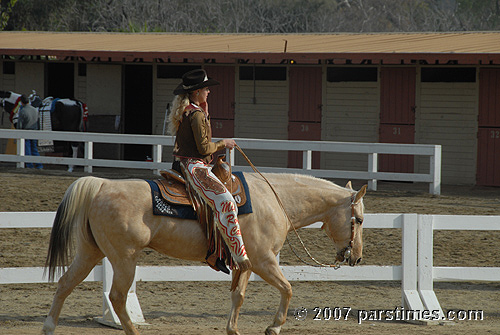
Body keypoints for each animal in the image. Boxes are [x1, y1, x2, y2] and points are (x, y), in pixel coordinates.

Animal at [42, 173, 368, 335]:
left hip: (90, 252)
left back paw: (48, 327)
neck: (275, 199)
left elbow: (239, 296)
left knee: (65, 284)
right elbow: (288, 289)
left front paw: (233, 330)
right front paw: (274, 326)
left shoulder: (246, 263)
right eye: (360, 219)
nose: (357, 258)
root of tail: (102, 185)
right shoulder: (264, 261)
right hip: (124, 258)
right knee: (118, 298)